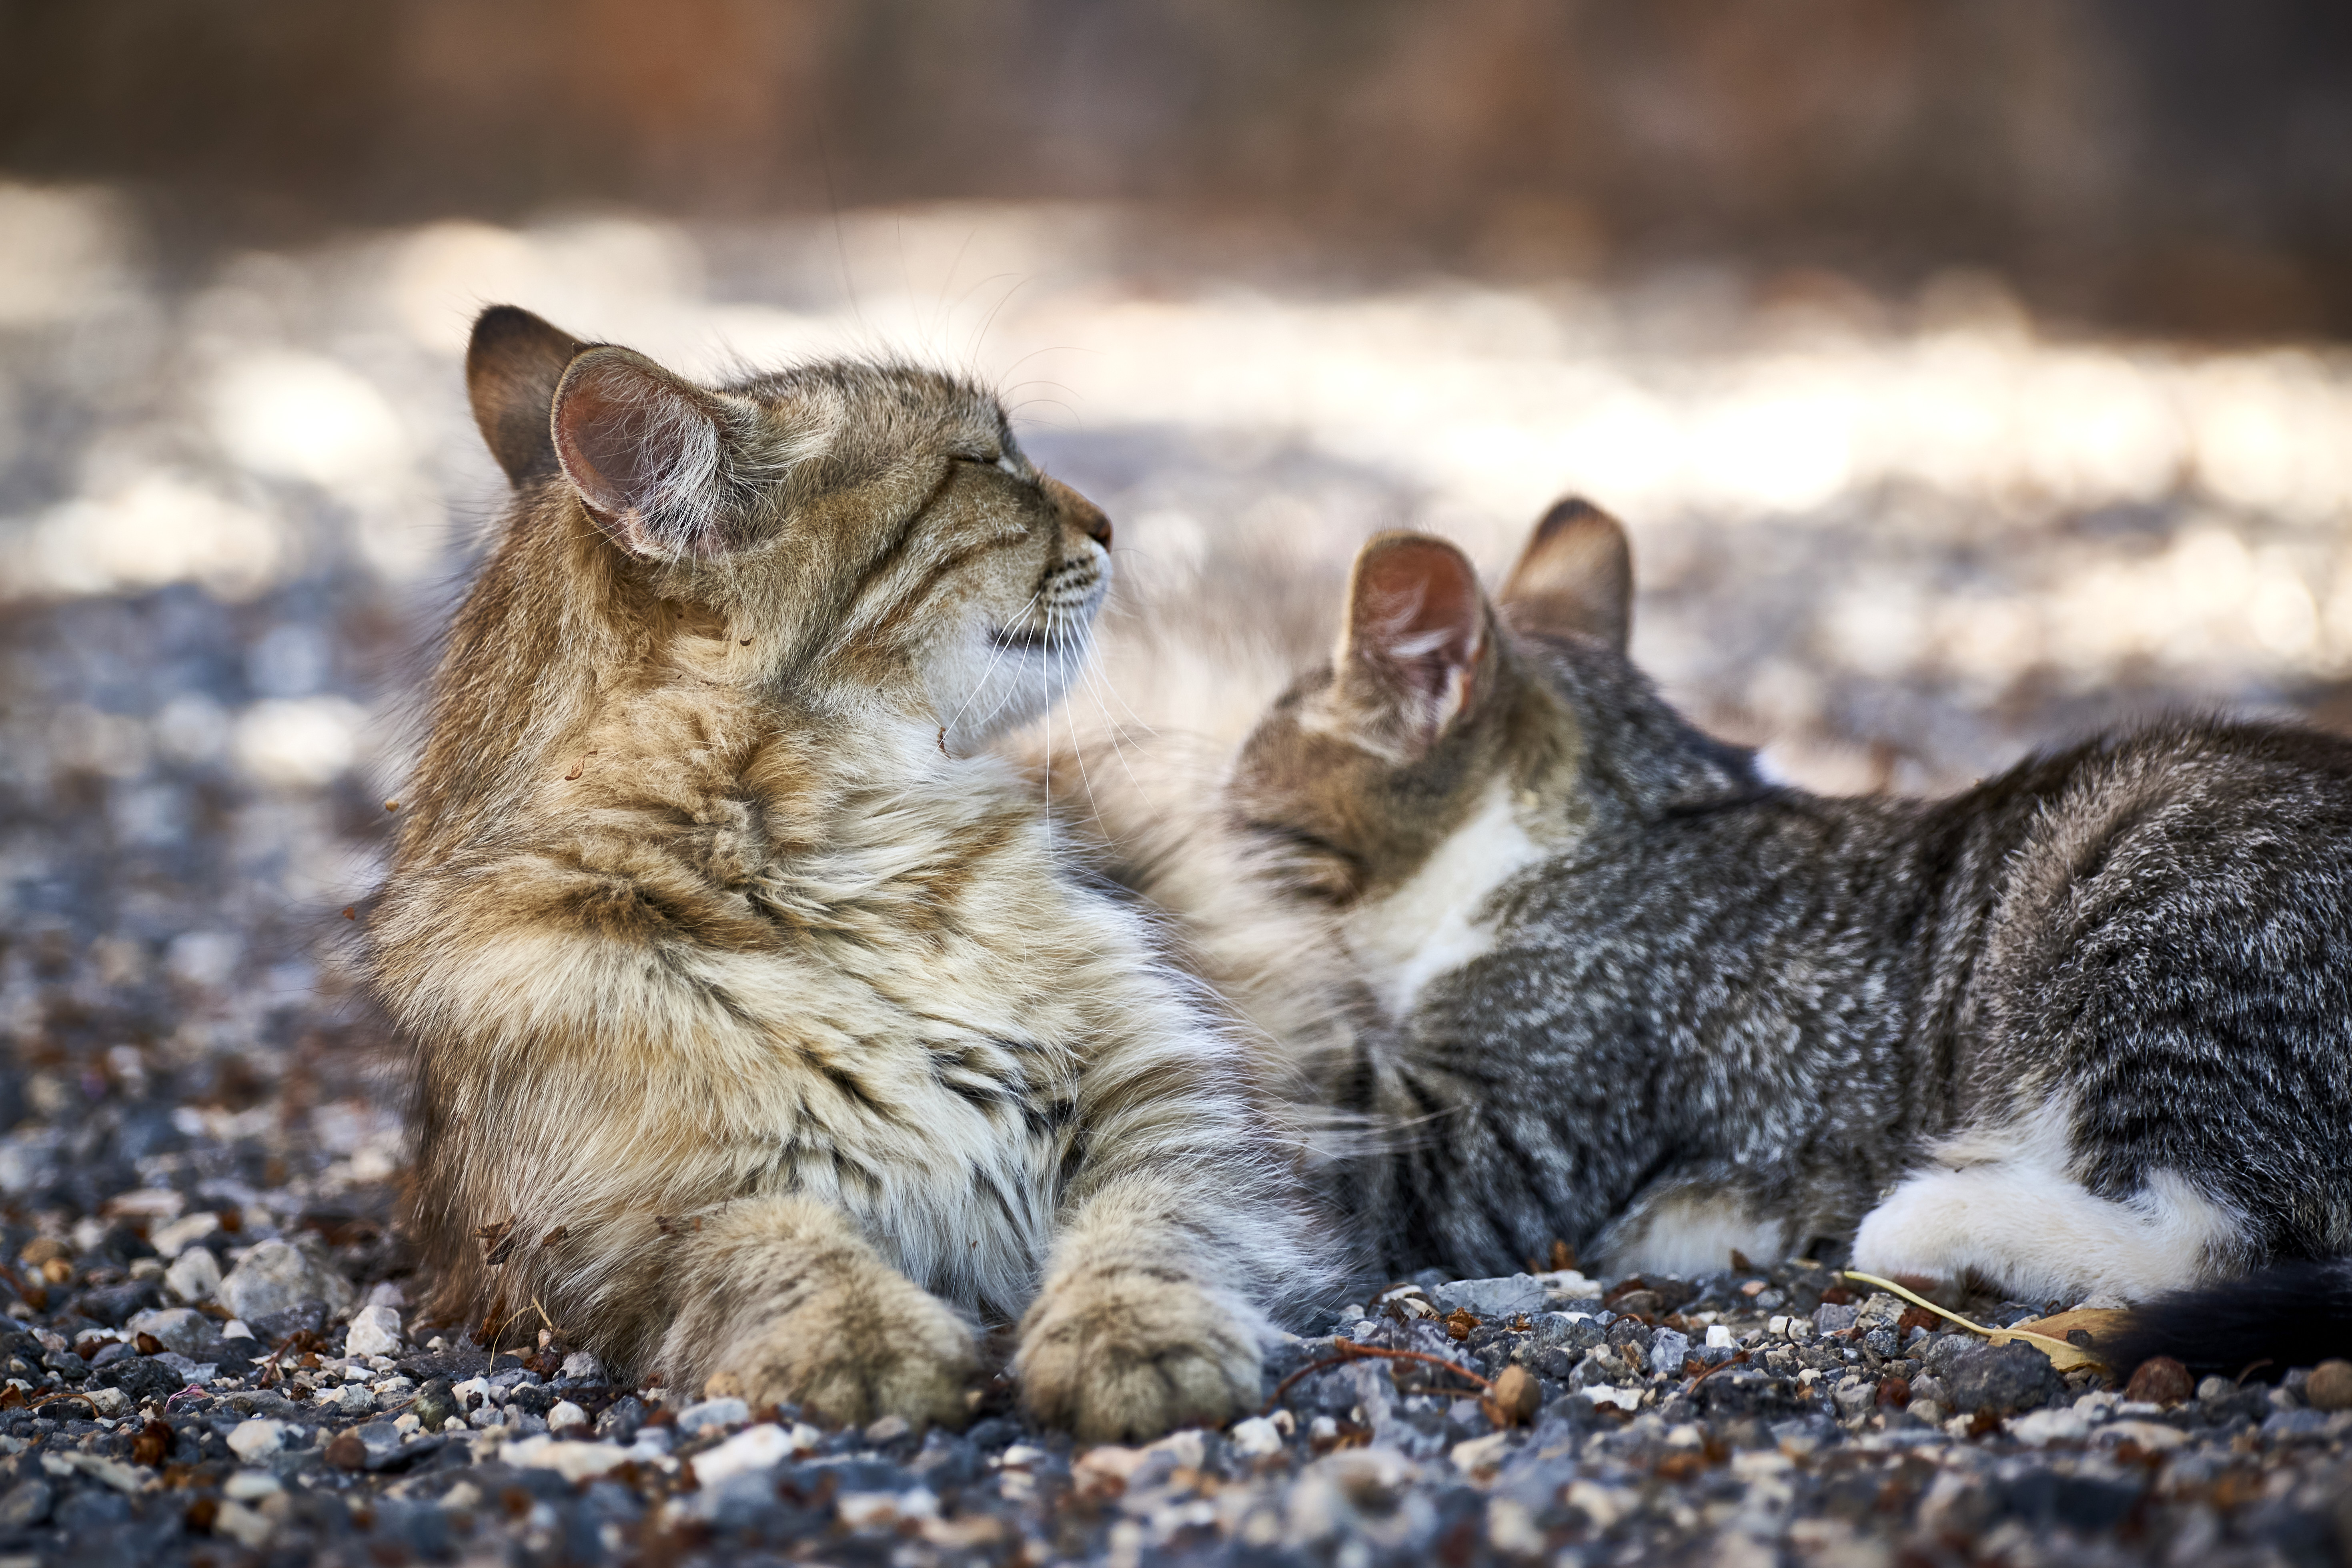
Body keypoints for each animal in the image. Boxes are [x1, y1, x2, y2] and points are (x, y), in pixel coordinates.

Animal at [362, 303, 1326, 1438]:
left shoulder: (1181, 1117)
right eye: (980, 463)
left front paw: (1133, 1341)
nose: (1108, 525)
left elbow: (1149, 1233)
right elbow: (778, 1245)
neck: (862, 885)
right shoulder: (618, 1229)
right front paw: (863, 1343)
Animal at [1223, 496, 2352, 1316]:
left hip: (2141, 890)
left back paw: (1940, 1220)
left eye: (1242, 798)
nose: (1213, 814)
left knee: (2220, 1242)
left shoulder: (1512, 1126)